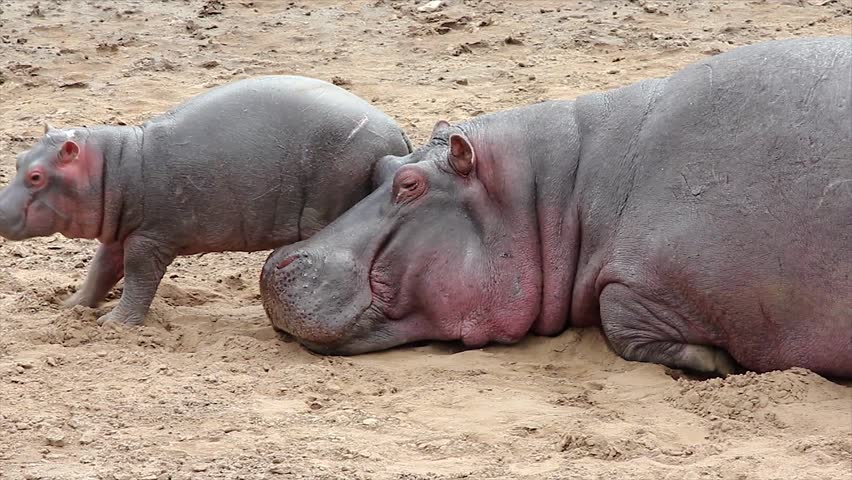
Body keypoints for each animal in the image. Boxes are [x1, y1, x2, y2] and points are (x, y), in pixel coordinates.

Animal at [0, 75, 412, 326]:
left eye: (36, 176)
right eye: (18, 159)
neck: (114, 166)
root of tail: (398, 131)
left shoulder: (149, 238)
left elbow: (137, 278)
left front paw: (113, 324)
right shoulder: (119, 233)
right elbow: (100, 270)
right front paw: (70, 308)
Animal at [260, 37, 852, 378]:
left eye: (409, 184)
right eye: (382, 165)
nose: (274, 263)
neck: (567, 186)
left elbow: (617, 316)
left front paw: (719, 362)